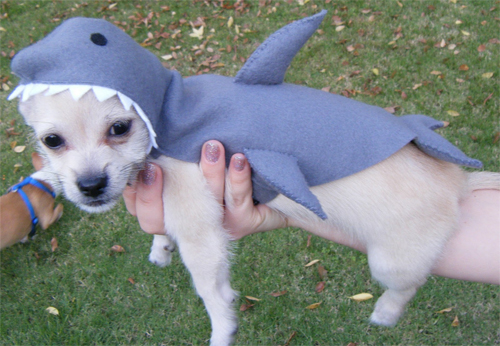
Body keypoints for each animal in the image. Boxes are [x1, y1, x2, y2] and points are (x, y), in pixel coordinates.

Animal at [16, 88, 500, 344]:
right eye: (52, 140)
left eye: (119, 128)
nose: (90, 185)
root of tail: (459, 182)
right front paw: (160, 247)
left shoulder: (201, 231)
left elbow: (209, 288)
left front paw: (222, 329)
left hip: (390, 261)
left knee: (407, 286)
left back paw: (384, 312)